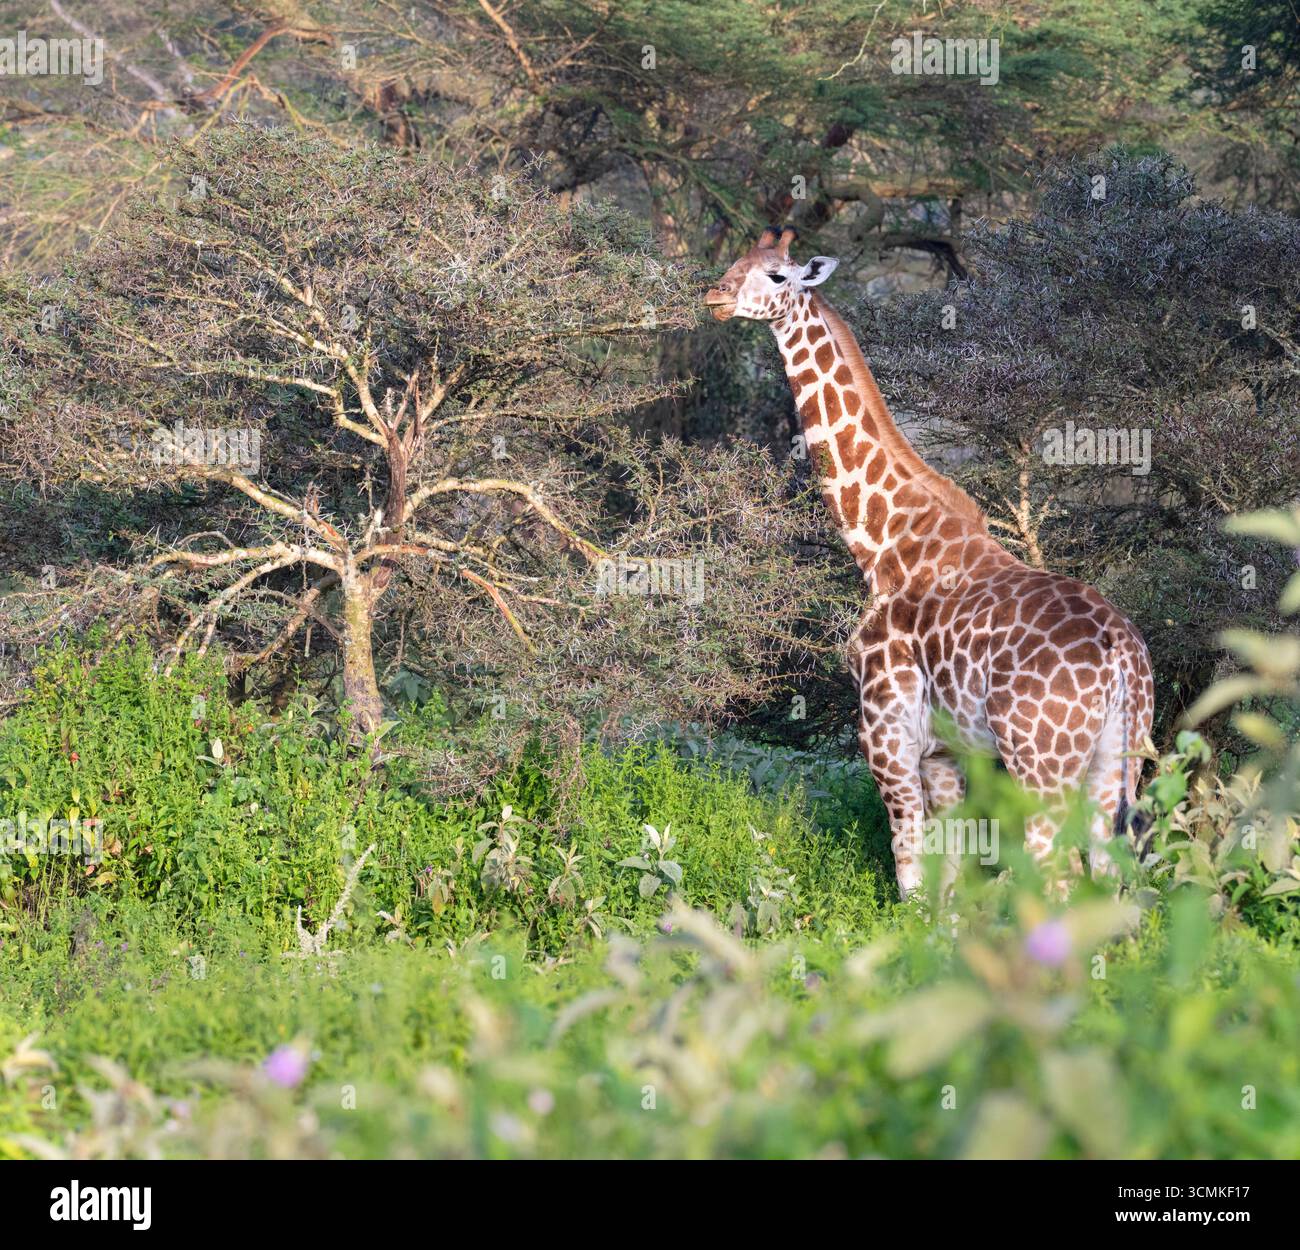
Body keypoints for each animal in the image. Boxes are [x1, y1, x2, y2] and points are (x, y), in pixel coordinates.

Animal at [705, 226, 1155, 899]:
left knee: (1058, 878)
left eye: (777, 275)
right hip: (1118, 758)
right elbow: (951, 882)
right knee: (1108, 877)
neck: (882, 545)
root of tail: (1122, 654)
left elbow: (911, 874)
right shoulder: (946, 752)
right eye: (735, 262)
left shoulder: (887, 735)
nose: (714, 296)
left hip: (1040, 762)